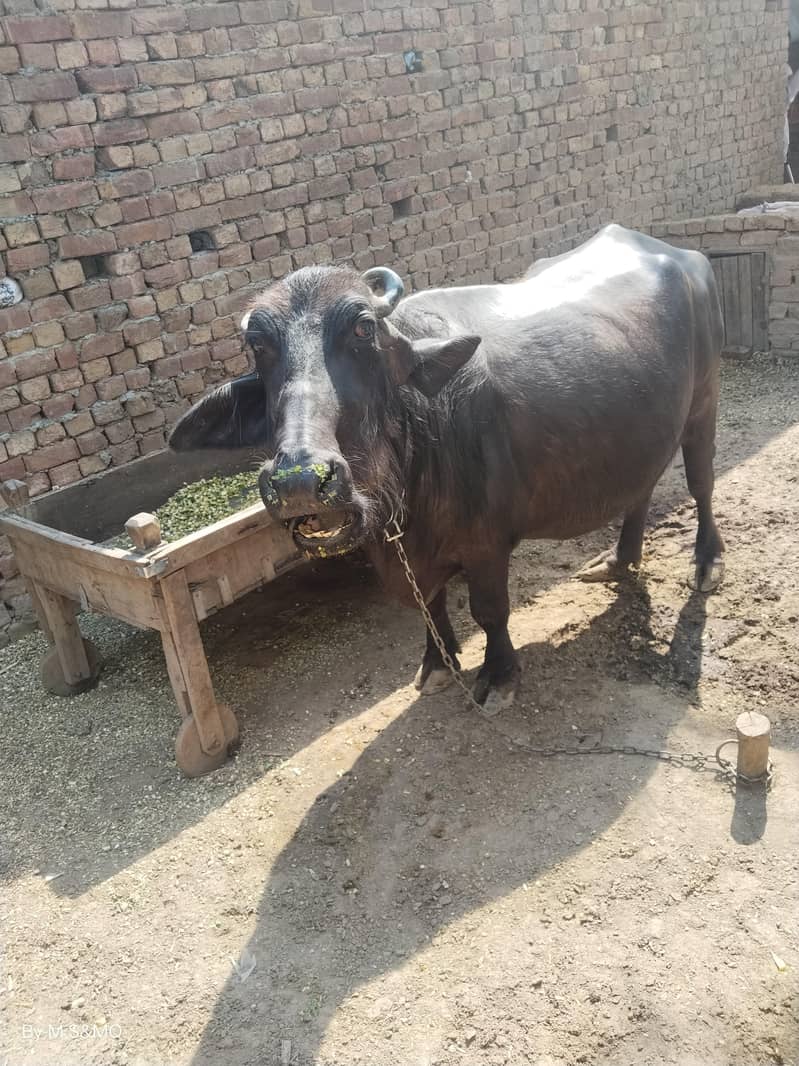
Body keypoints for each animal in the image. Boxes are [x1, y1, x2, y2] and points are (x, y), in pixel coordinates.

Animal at [170, 224, 725, 714]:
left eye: (363, 329)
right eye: (259, 346)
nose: (302, 482)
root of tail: (682, 256)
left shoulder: (487, 543)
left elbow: (490, 611)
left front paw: (499, 676)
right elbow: (430, 605)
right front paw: (437, 662)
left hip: (703, 404)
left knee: (701, 482)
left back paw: (707, 561)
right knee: (641, 487)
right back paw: (619, 560)